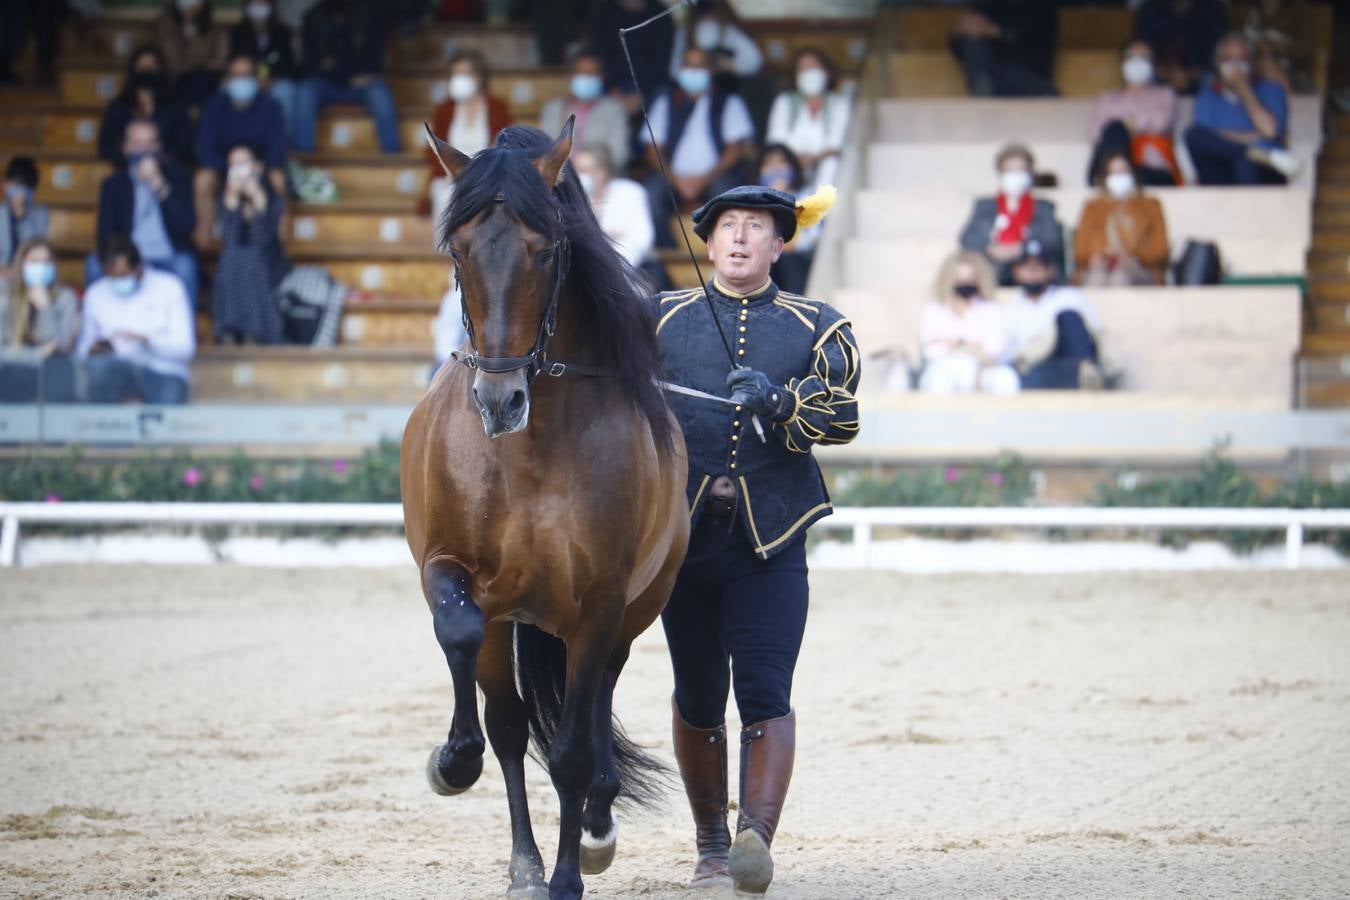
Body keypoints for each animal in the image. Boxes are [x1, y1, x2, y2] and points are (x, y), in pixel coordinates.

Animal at [394, 121, 691, 900]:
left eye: (548, 250)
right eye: (458, 251)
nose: (500, 402)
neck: (528, 453)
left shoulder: (600, 603)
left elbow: (572, 752)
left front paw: (569, 875)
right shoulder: (448, 570)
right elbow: (463, 641)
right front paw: (452, 761)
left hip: (633, 610)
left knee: (594, 707)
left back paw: (592, 830)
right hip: (515, 619)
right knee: (508, 720)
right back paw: (523, 860)